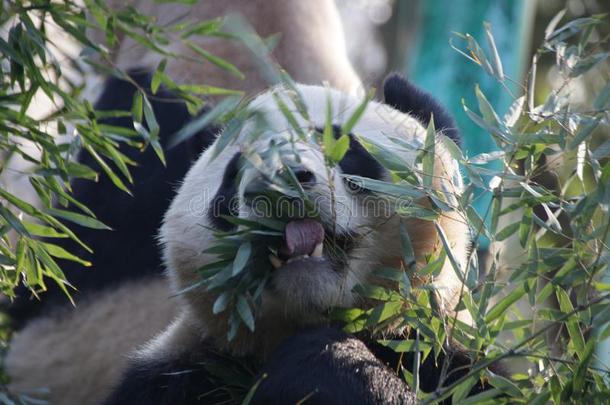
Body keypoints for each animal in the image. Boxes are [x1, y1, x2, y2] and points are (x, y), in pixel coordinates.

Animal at [100, 73, 480, 404]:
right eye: (236, 169)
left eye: (339, 144)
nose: (281, 183)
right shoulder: (184, 370)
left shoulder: (445, 351)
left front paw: (321, 364)